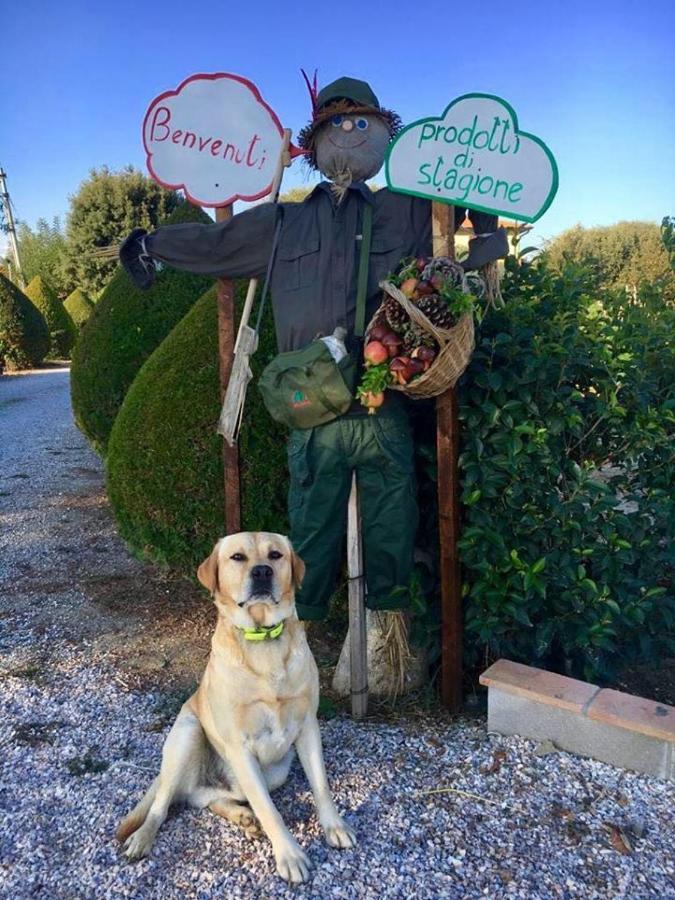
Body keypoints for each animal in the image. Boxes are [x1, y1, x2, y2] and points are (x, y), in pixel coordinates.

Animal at [115, 532, 360, 884]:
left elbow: (321, 785)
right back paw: (143, 837)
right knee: (164, 804)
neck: (262, 638)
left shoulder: (308, 726)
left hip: (274, 773)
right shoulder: (240, 747)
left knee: (201, 797)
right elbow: (269, 810)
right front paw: (290, 856)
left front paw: (334, 826)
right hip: (188, 734)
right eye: (238, 557)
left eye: (275, 555)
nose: (262, 572)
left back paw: (241, 816)